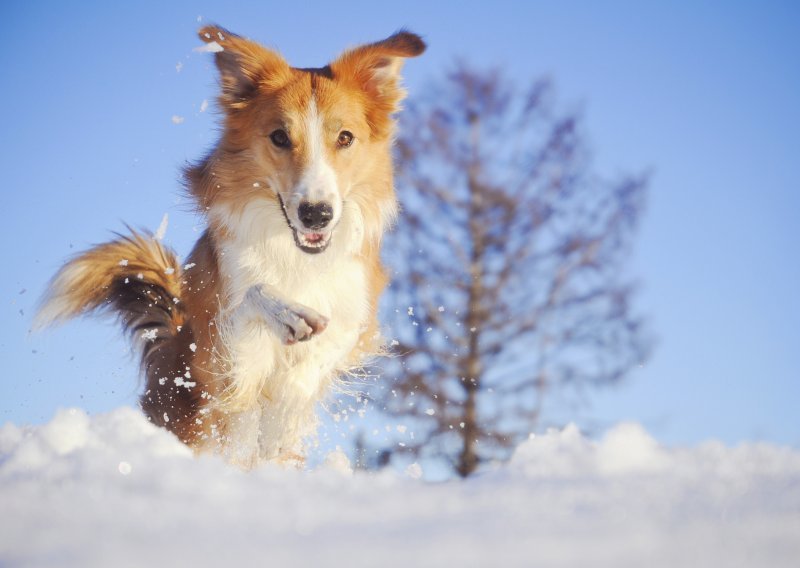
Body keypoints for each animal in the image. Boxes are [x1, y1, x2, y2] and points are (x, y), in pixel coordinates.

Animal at [36, 26, 424, 468]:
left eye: (345, 138)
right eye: (279, 137)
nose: (316, 214)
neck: (298, 259)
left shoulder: (353, 318)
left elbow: (306, 375)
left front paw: (284, 410)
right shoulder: (222, 347)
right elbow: (254, 298)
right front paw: (288, 315)